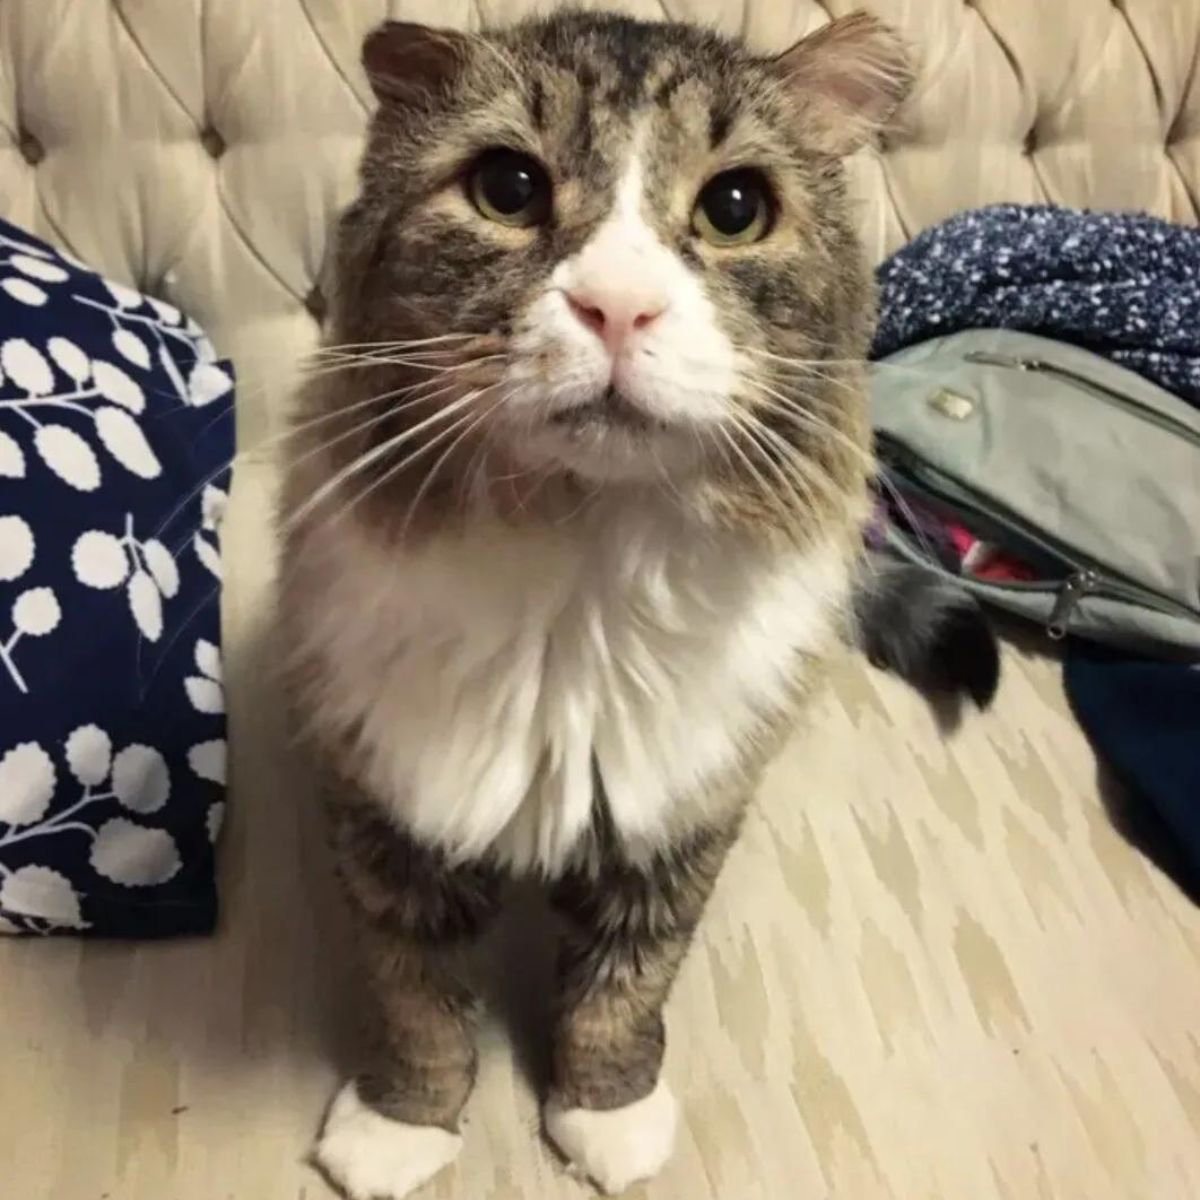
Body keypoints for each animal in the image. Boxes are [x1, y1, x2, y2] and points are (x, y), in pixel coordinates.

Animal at [274, 11, 936, 1200]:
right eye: (508, 188)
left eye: (735, 208)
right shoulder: (384, 808)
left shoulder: (682, 814)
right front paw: (403, 1127)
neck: (582, 563)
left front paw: (607, 1115)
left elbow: (625, 985)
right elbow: (415, 996)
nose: (618, 306)